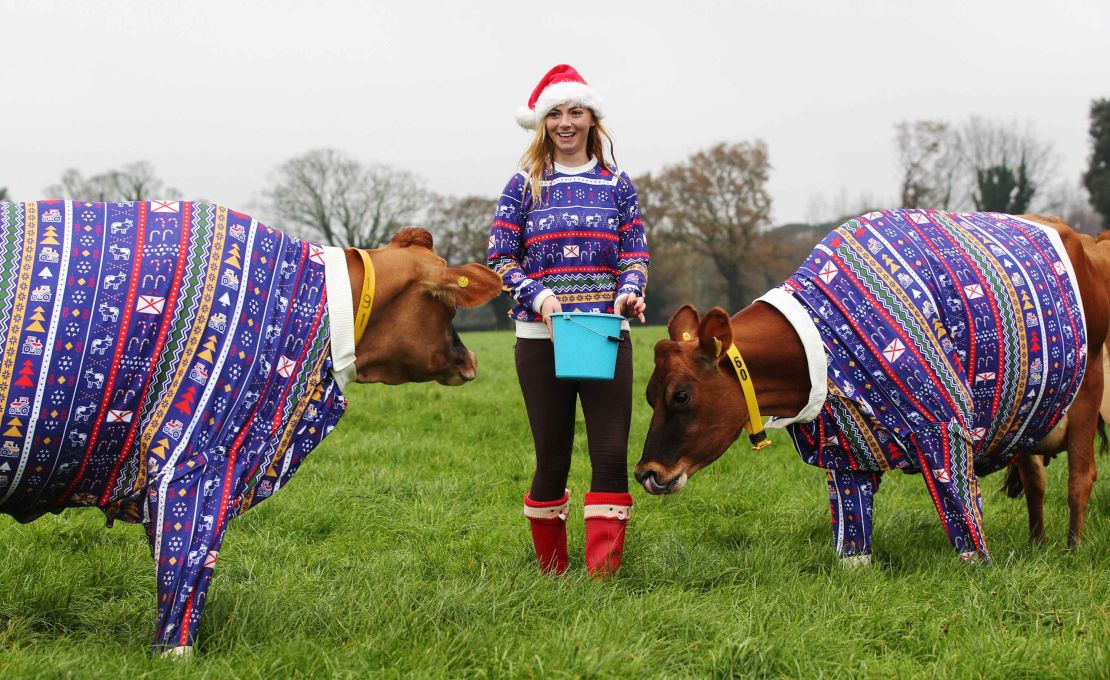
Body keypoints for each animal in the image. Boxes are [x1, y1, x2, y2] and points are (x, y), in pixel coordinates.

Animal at [639, 210, 1105, 561]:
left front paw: (982, 564)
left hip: (1088, 390)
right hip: (1032, 416)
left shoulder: (944, 427)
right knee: (1035, 480)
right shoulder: (842, 449)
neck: (822, 342)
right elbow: (852, 529)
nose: (646, 473)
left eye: (681, 395)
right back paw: (1037, 545)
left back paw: (1072, 552)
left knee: (1081, 477)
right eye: (647, 396)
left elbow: (963, 513)